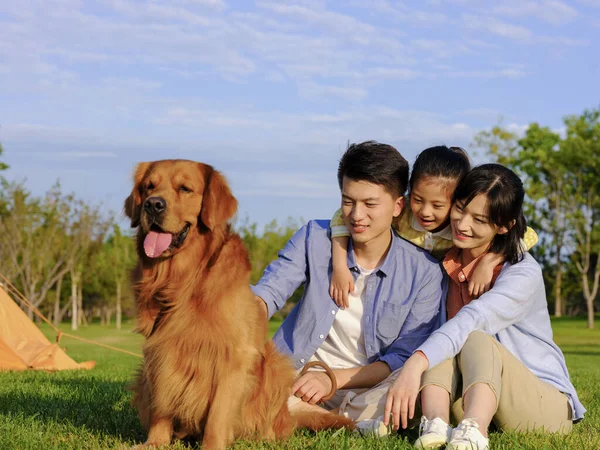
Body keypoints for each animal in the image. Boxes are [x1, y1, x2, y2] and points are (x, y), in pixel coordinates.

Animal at [125, 160, 352, 448]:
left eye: (184, 188)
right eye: (148, 187)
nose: (153, 205)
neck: (184, 282)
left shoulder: (234, 357)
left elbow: (217, 415)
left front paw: (212, 445)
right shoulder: (160, 351)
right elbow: (161, 404)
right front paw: (155, 442)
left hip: (275, 366)